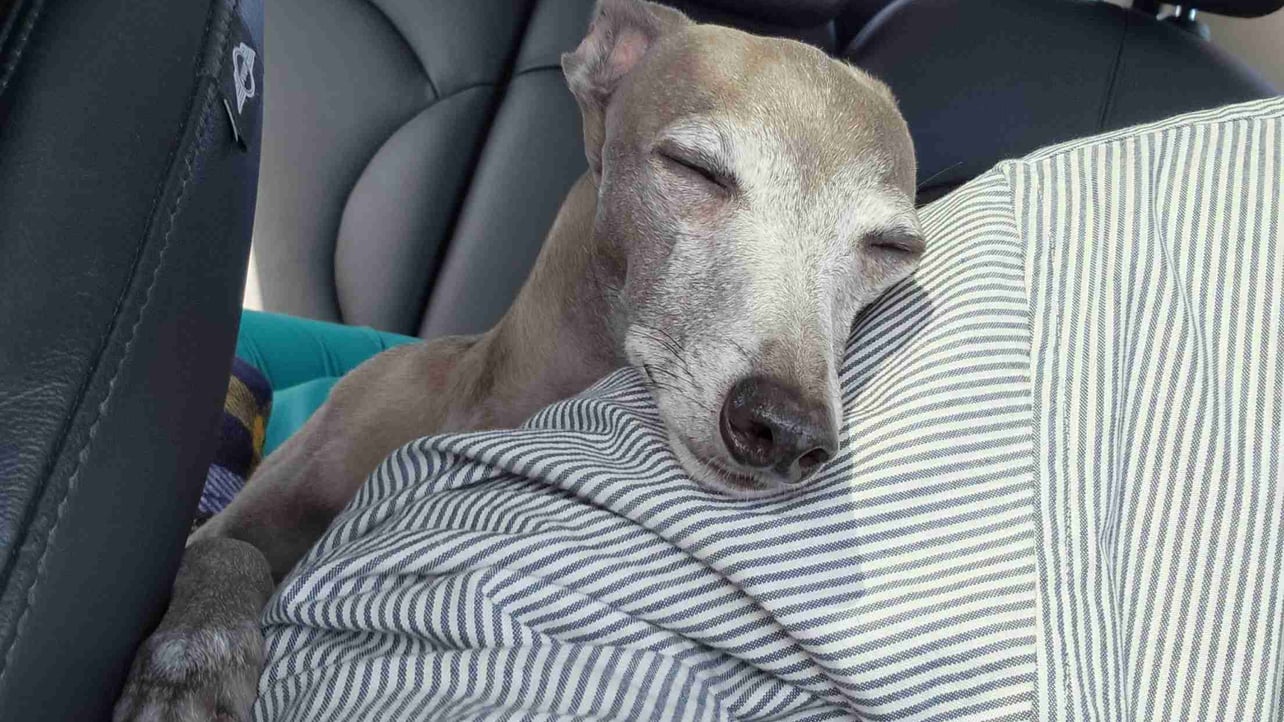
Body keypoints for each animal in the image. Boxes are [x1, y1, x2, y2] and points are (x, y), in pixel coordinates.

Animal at [114, 1, 924, 718]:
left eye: (893, 247)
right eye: (694, 168)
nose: (784, 428)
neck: (484, 394)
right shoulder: (232, 519)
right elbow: (222, 551)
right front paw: (191, 661)